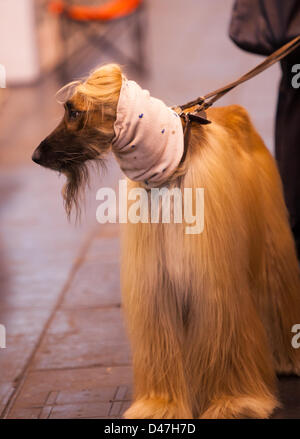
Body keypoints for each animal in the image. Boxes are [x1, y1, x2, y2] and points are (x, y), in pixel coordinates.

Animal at [32, 62, 300, 420]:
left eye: (74, 111)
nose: (35, 155)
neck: (170, 169)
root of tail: (236, 111)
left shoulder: (213, 280)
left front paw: (233, 402)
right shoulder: (155, 283)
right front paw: (160, 406)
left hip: (270, 236)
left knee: (276, 285)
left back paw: (288, 359)